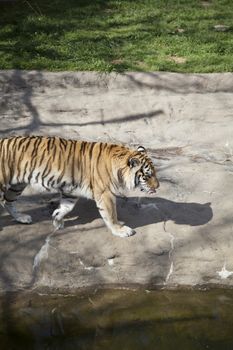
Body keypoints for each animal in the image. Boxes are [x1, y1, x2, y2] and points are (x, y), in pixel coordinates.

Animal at [0, 135, 159, 237]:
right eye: (147, 176)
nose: (157, 186)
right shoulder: (105, 194)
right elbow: (111, 215)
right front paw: (120, 230)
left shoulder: (70, 190)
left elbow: (66, 207)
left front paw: (57, 220)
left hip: (17, 185)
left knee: (7, 201)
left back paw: (21, 217)